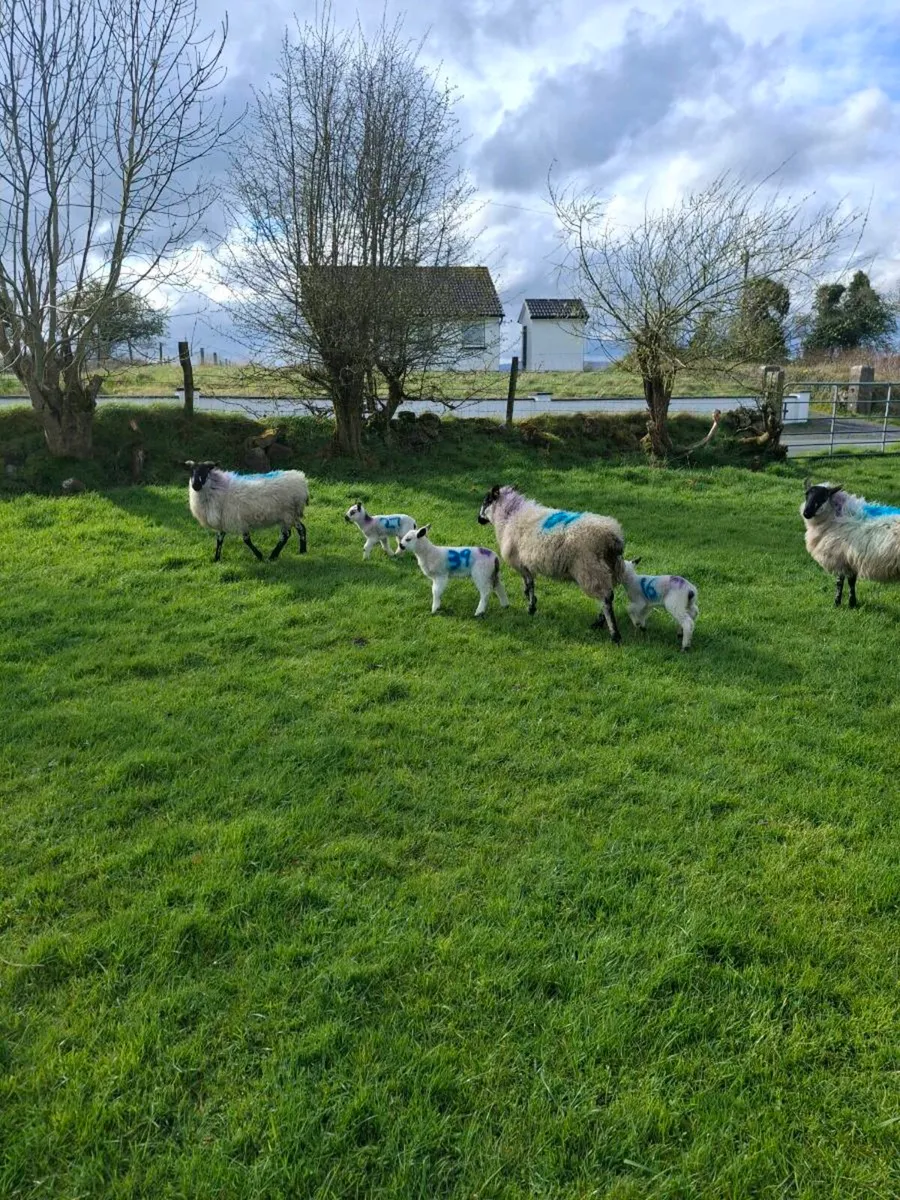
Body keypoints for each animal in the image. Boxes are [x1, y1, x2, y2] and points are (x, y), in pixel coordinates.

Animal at [477, 484, 625, 640]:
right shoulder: (524, 564)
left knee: (606, 599)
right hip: (610, 569)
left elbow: (530, 584)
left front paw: (531, 607)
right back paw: (600, 622)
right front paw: (530, 599)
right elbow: (527, 584)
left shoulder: (520, 562)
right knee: (608, 596)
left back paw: (614, 634)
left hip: (590, 569)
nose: (478, 519)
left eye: (486, 501)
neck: (510, 516)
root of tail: (613, 538)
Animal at [801, 479, 900, 607]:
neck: (835, 517)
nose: (806, 513)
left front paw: (838, 603)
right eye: (807, 495)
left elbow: (840, 582)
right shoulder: (850, 560)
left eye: (823, 497)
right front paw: (852, 603)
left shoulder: (840, 559)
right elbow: (851, 581)